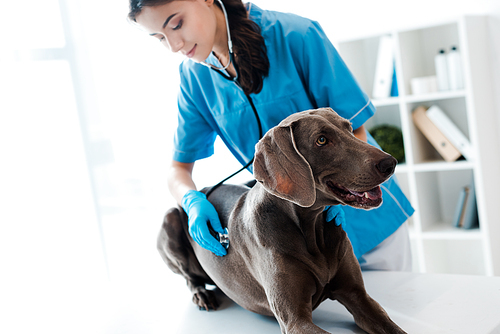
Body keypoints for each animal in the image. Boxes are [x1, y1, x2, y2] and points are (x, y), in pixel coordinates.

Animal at [159, 108, 406, 332]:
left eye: (349, 128)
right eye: (321, 140)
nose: (390, 163)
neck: (310, 226)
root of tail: (201, 190)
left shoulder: (358, 296)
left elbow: (393, 327)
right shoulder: (295, 320)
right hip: (171, 219)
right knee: (190, 277)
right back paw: (202, 294)